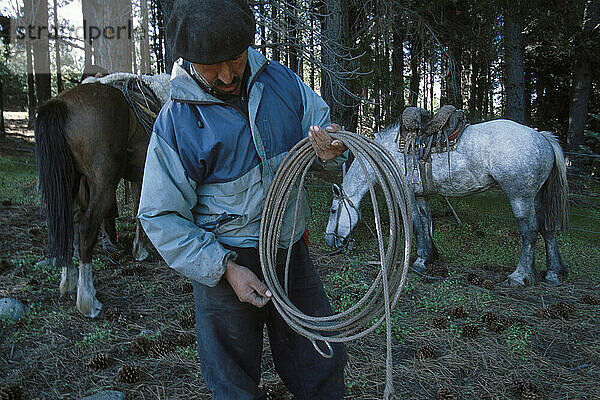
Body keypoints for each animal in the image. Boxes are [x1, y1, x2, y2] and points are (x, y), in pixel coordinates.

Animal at [34, 83, 151, 318]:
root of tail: (61, 102)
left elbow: (138, 212)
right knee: (86, 230)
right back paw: (87, 300)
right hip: (103, 184)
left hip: (70, 181)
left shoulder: (140, 176)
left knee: (69, 226)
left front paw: (139, 249)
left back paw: (68, 282)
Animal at [326, 119, 568, 288]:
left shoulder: (409, 195)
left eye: (334, 210)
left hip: (520, 196)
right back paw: (553, 273)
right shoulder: (422, 195)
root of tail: (542, 138)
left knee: (530, 233)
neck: (389, 153)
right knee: (548, 231)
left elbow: (416, 225)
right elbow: (425, 223)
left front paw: (420, 260)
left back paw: (519, 276)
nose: (329, 240)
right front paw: (429, 256)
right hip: (537, 197)